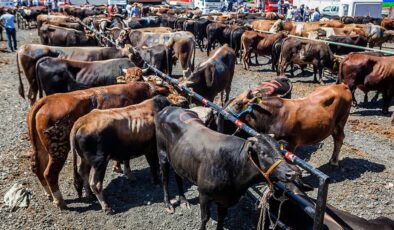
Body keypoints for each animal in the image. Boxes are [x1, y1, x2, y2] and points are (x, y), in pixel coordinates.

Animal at [26, 82, 170, 209]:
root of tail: (45, 100)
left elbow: (126, 157)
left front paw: (127, 172)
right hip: (59, 149)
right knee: (50, 173)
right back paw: (61, 202)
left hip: (41, 149)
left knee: (37, 168)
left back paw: (52, 195)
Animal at [155, 106, 300, 230]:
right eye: (263, 153)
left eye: (281, 151)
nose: (291, 173)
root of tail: (168, 108)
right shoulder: (204, 194)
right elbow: (205, 218)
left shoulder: (224, 200)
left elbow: (221, 218)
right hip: (162, 154)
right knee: (164, 179)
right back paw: (168, 203)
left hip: (178, 160)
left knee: (178, 176)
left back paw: (184, 200)